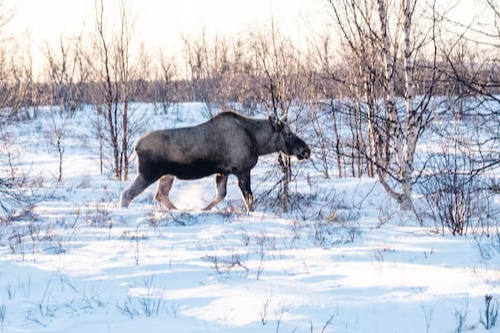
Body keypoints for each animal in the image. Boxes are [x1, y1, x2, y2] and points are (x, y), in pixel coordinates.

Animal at [120, 111, 308, 210]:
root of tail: (136, 146)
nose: (306, 150)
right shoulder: (241, 170)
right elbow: (248, 198)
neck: (257, 142)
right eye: (288, 134)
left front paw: (203, 209)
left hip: (166, 176)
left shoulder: (223, 172)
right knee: (127, 194)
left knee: (160, 195)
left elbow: (220, 195)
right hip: (148, 174)